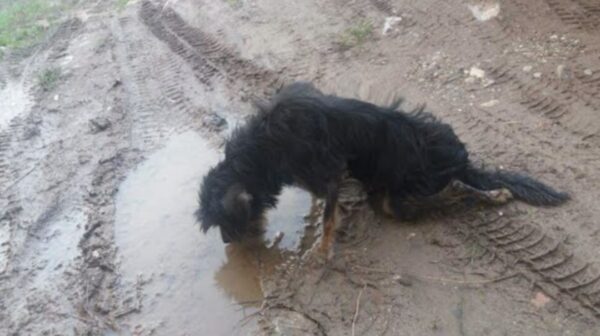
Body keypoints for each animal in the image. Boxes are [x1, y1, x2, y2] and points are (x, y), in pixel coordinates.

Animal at [199, 82, 568, 255]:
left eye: (226, 223)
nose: (226, 243)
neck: (261, 149)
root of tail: (460, 159)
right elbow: (323, 206)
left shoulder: (330, 172)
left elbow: (328, 218)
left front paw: (320, 252)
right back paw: (493, 192)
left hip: (407, 191)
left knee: (453, 189)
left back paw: (492, 193)